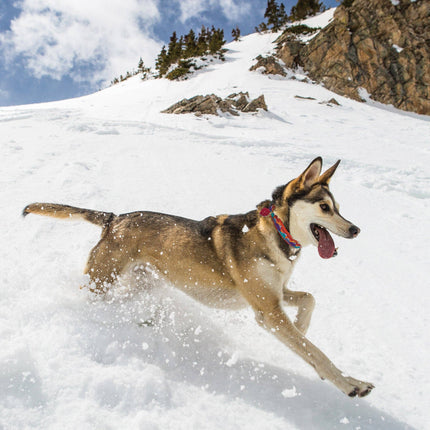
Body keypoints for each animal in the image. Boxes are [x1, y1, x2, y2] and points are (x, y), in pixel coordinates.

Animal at [23, 156, 372, 398]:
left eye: (338, 207)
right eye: (324, 207)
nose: (356, 229)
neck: (275, 231)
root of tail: (113, 219)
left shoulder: (275, 295)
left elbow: (309, 302)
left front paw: (302, 326)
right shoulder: (267, 311)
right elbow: (316, 353)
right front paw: (348, 384)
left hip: (140, 283)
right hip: (102, 281)